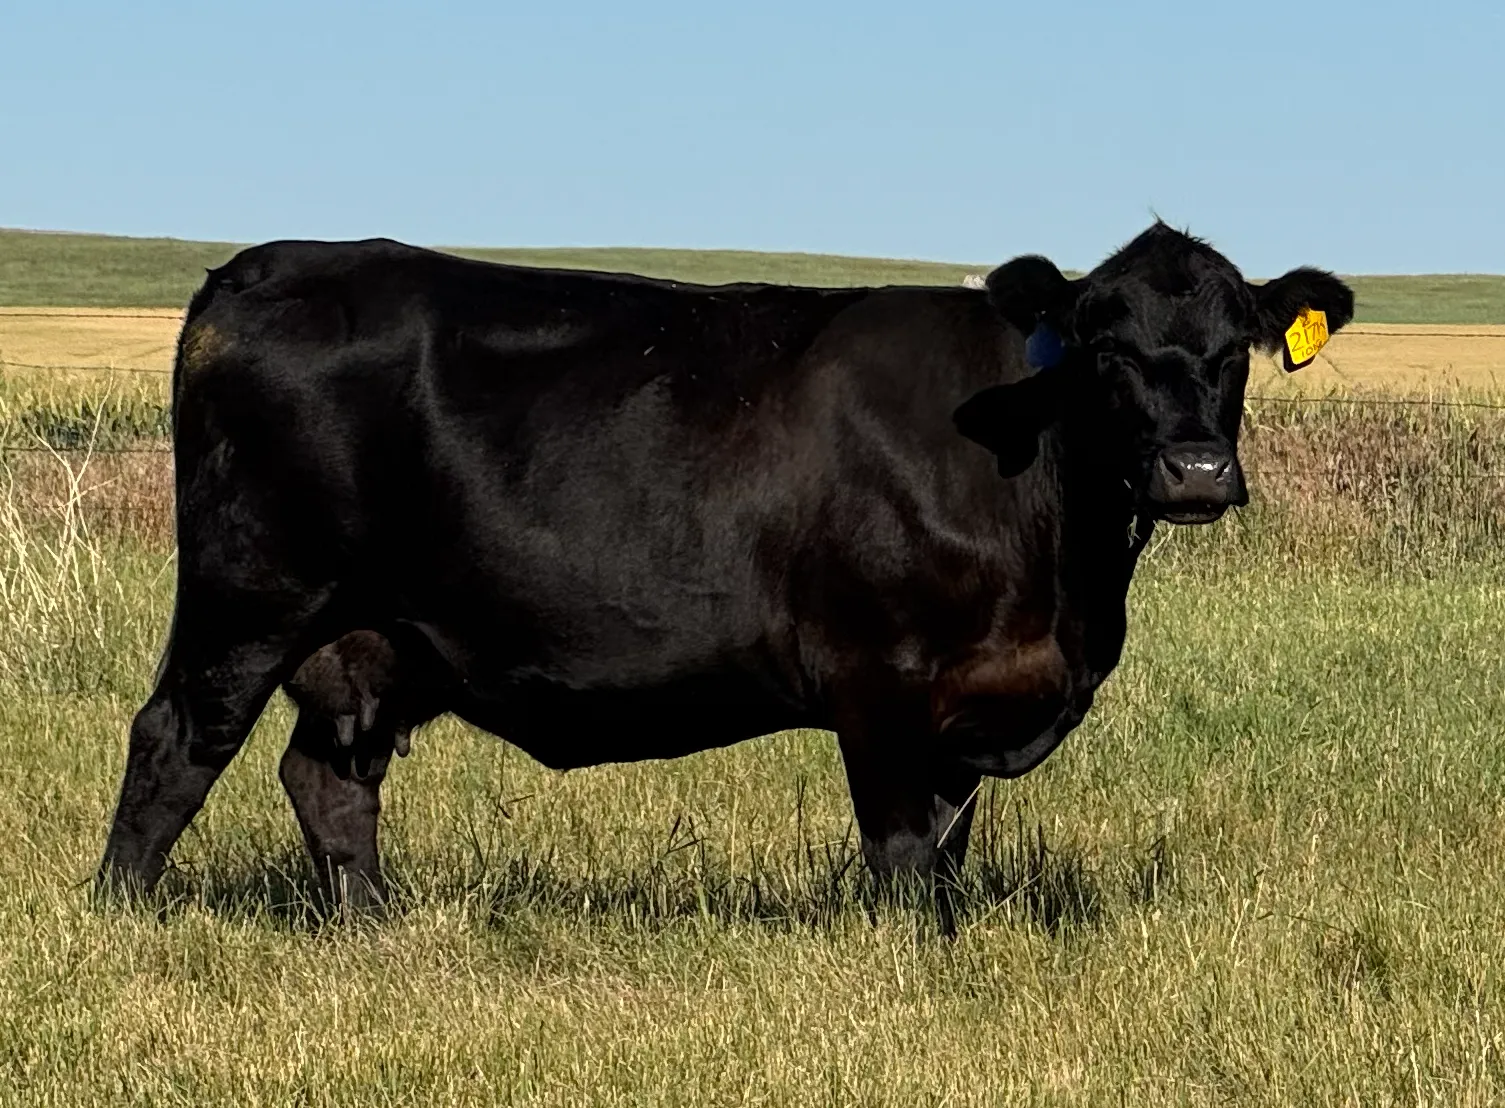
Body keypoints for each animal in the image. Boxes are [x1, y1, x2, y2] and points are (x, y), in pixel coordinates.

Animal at [97, 222, 1353, 921]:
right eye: (1103, 346)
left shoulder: (970, 700)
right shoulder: (878, 679)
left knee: (328, 777)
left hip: (370, 637)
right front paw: (910, 964)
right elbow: (903, 857)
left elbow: (950, 851)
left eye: (1235, 348)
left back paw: (373, 926)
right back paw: (118, 921)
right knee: (174, 741)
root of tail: (260, 268)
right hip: (250, 595)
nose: (1195, 469)